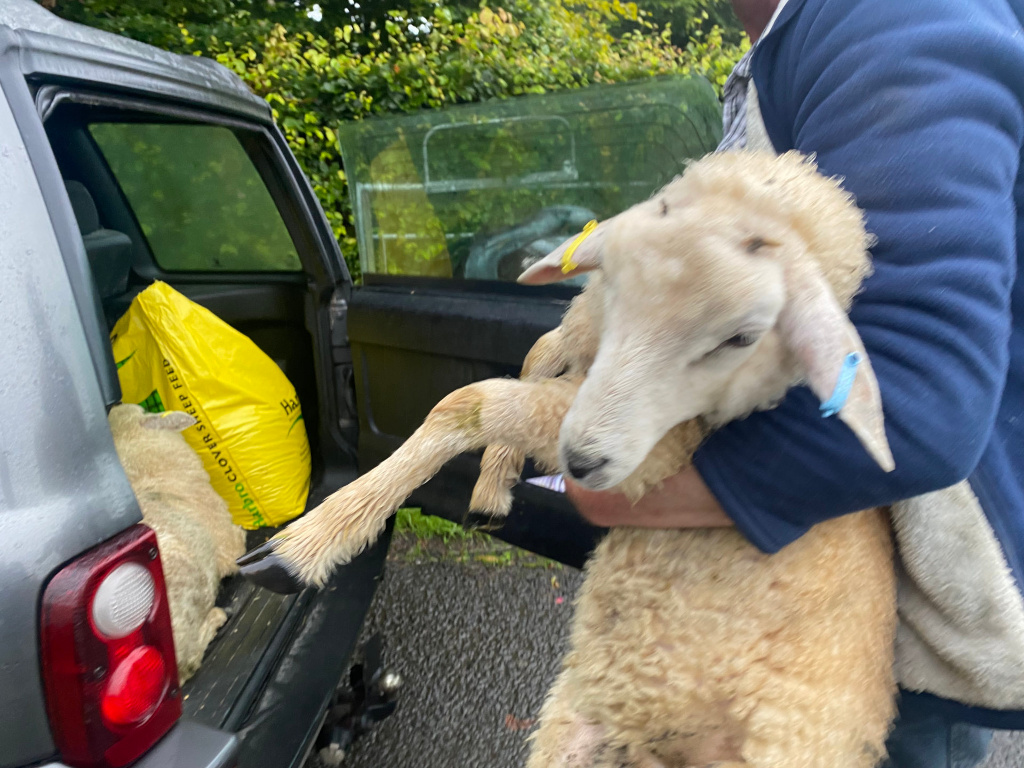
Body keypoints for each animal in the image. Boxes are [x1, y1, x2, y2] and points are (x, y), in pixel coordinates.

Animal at [243, 150, 899, 766]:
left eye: (742, 337)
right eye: (612, 279)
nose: (581, 461)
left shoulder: (660, 452)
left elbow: (470, 402)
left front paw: (305, 544)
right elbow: (537, 352)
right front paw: (494, 479)